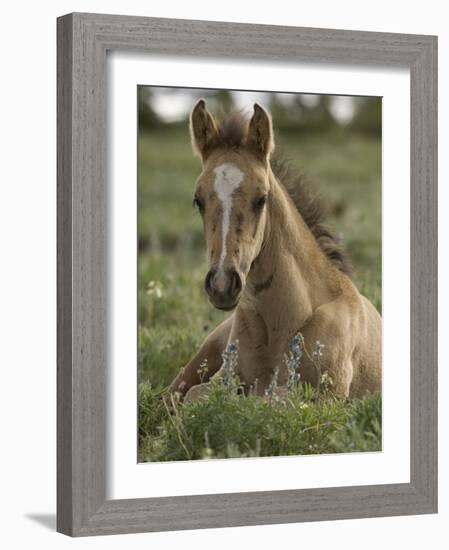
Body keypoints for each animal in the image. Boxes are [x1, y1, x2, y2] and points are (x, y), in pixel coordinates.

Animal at [170, 99, 380, 402]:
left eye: (262, 198)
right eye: (198, 200)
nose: (222, 285)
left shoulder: (329, 396)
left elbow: (271, 400)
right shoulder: (223, 377)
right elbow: (197, 396)